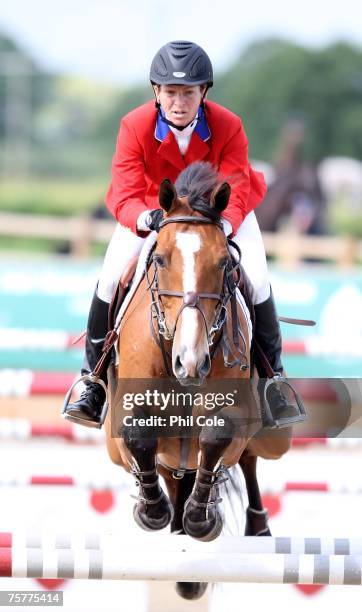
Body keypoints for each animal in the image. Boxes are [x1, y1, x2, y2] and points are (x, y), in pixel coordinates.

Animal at [104, 161, 292, 596]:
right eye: (159, 259)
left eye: (224, 264)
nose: (189, 361)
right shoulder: (122, 420)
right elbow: (137, 435)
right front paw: (153, 511)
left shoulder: (234, 415)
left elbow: (218, 436)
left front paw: (201, 520)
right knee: (174, 475)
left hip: (266, 437)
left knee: (247, 461)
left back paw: (250, 529)